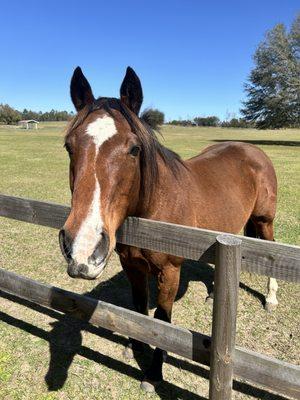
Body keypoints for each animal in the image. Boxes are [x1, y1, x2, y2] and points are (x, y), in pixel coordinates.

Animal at [59, 67, 278, 392]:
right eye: (69, 146)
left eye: (134, 149)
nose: (83, 249)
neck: (153, 210)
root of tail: (252, 149)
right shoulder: (132, 267)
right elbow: (140, 308)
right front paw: (135, 345)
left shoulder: (169, 273)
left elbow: (162, 322)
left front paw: (153, 373)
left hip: (264, 221)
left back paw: (271, 298)